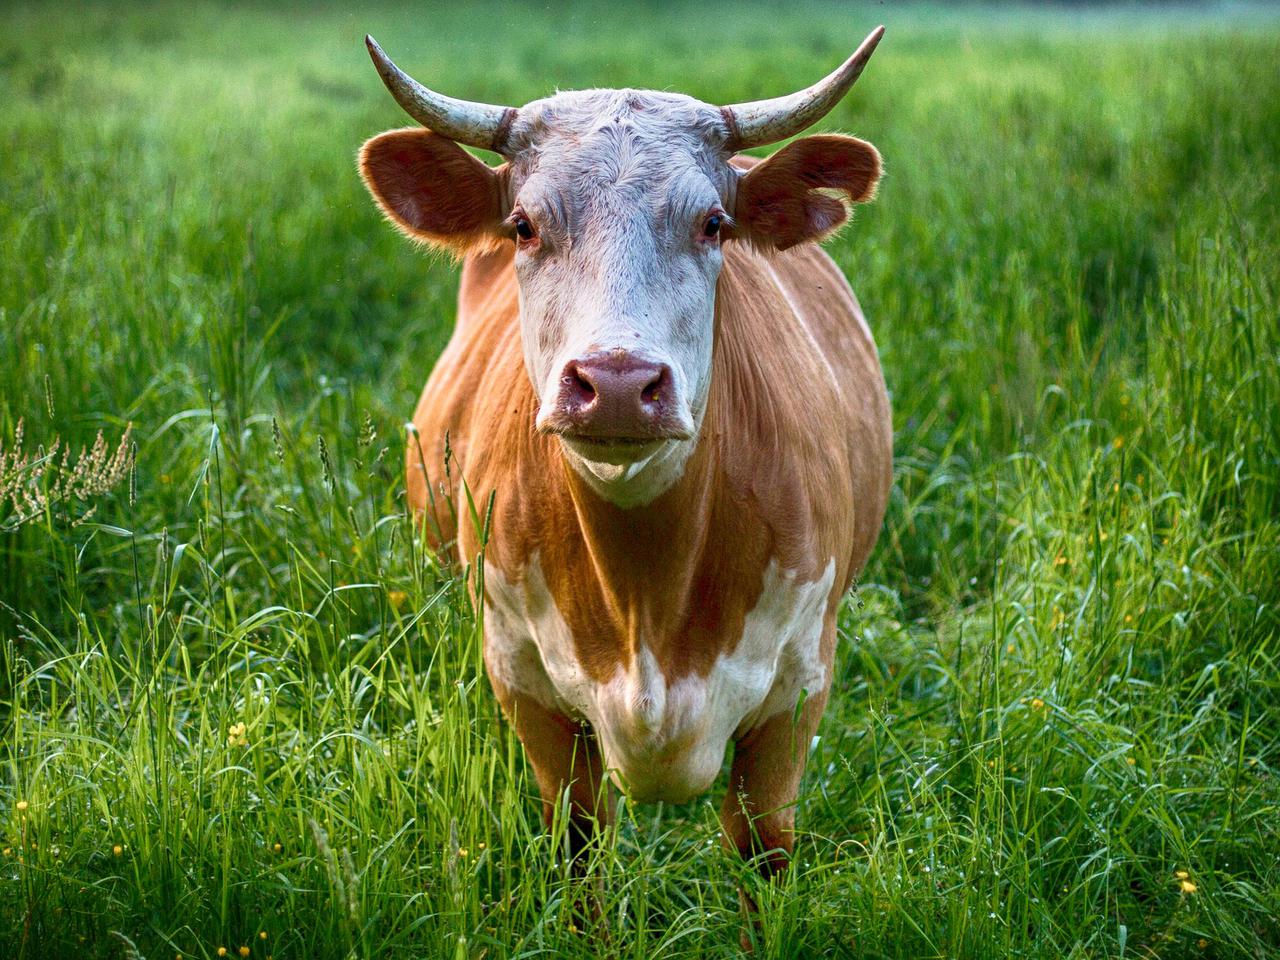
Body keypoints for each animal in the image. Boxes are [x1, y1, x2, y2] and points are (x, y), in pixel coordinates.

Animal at [360, 24, 890, 916]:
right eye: (524, 224)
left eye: (713, 223)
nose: (615, 383)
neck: (648, 592)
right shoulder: (522, 678)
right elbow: (579, 850)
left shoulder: (799, 686)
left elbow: (763, 854)